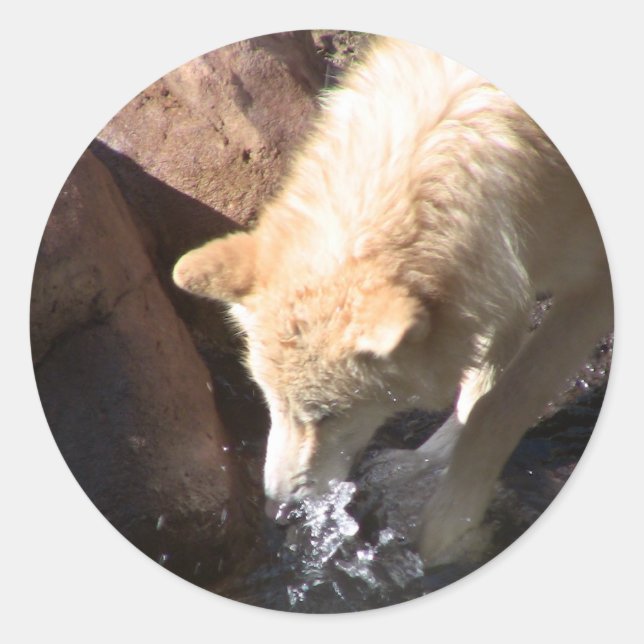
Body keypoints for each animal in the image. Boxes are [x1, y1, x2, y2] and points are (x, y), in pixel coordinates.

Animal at [173, 37, 612, 564]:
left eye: (327, 415)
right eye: (269, 401)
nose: (280, 514)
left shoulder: (591, 286)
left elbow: (503, 405)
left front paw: (449, 526)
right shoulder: (503, 272)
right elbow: (479, 389)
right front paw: (422, 467)